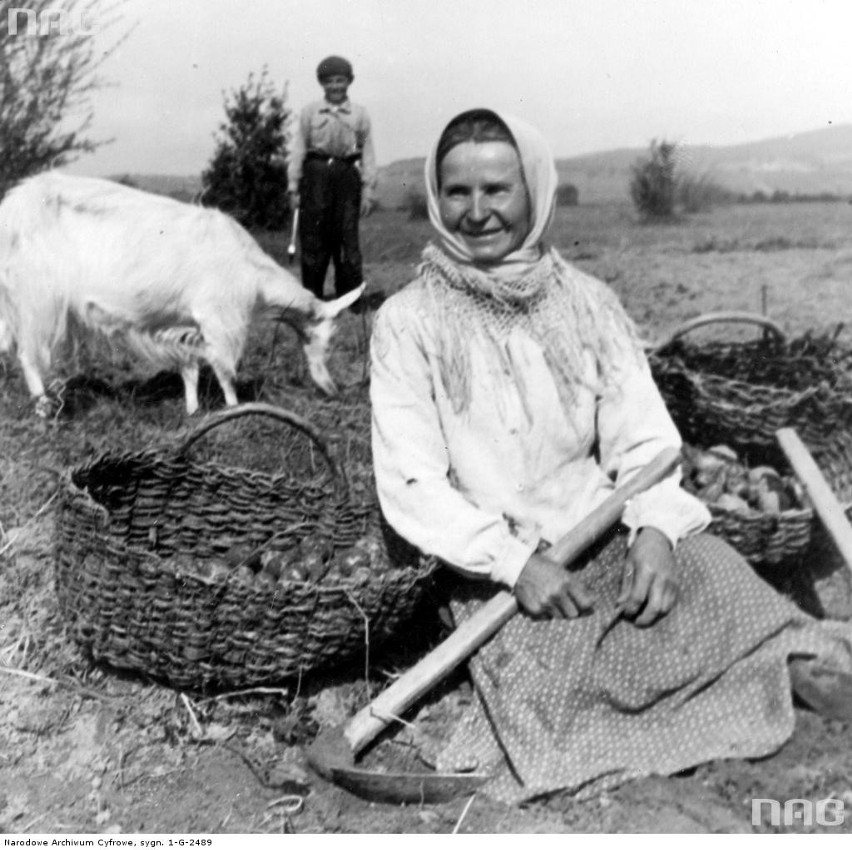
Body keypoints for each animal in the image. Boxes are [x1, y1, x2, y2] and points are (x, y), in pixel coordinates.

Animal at [0, 170, 362, 414]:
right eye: (327, 339)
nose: (331, 388)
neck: (252, 273)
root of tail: (13, 209)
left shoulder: (187, 324)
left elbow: (191, 369)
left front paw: (192, 409)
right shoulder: (218, 319)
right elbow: (225, 371)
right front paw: (235, 410)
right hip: (37, 298)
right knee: (27, 355)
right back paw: (44, 407)